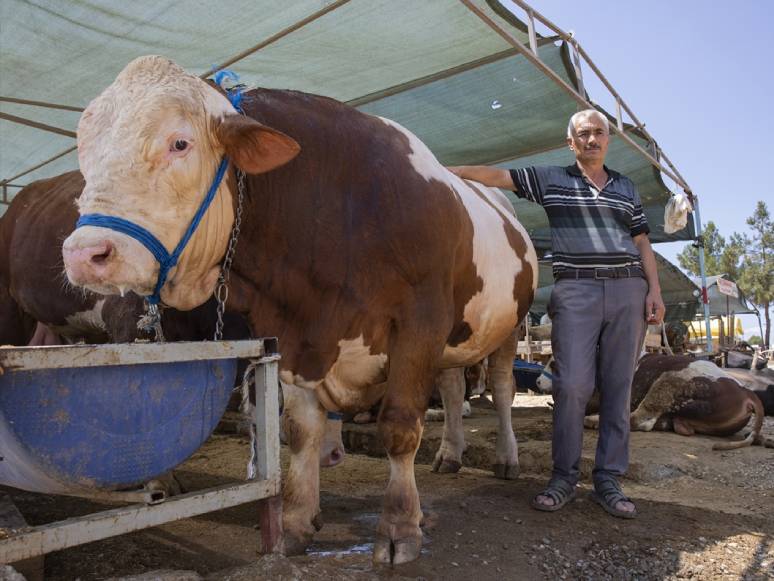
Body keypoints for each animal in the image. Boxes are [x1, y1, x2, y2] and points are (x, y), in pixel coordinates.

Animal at [62, 55, 540, 560]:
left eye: (180, 142)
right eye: (85, 150)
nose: (84, 253)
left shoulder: (419, 323)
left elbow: (399, 426)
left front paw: (400, 525)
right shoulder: (294, 333)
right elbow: (301, 429)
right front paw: (295, 520)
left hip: (507, 328)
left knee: (502, 390)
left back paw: (506, 457)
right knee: (451, 389)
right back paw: (449, 454)